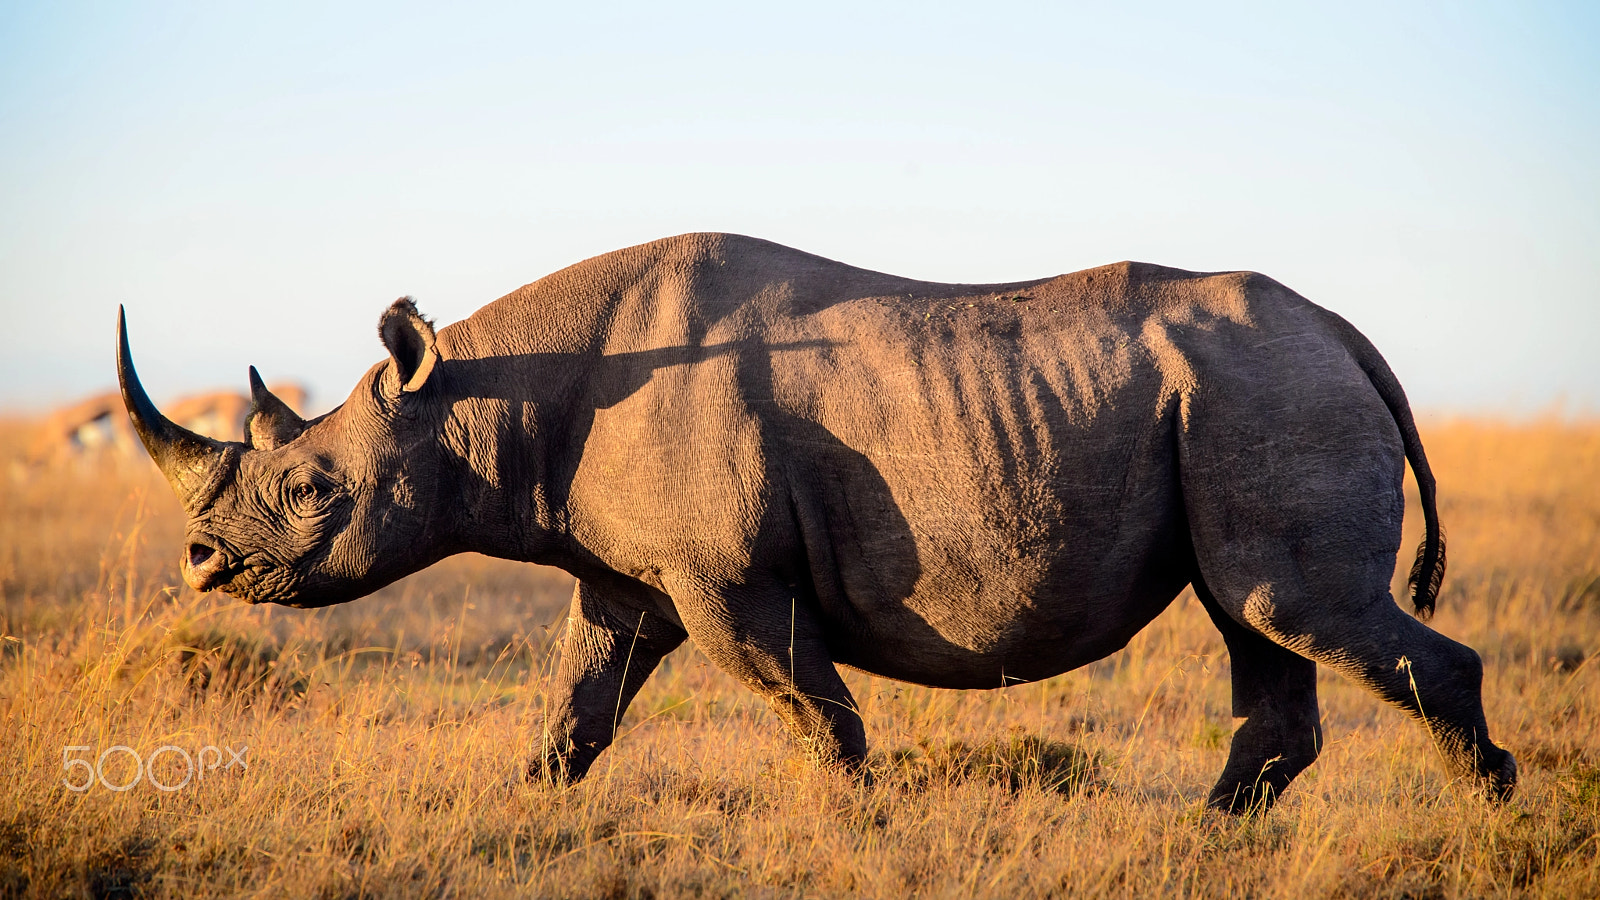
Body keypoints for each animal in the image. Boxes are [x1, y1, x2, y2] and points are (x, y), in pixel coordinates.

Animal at [117, 233, 1515, 812]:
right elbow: (576, 709)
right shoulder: (629, 578)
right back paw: (1203, 841)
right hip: (1250, 393)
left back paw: (1492, 829)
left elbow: (815, 711)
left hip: (1271, 391)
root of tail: (1346, 333)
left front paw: (858, 828)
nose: (203, 563)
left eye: (311, 492)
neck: (477, 394)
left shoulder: (724, 579)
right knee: (1259, 623)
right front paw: (525, 814)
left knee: (1296, 610)